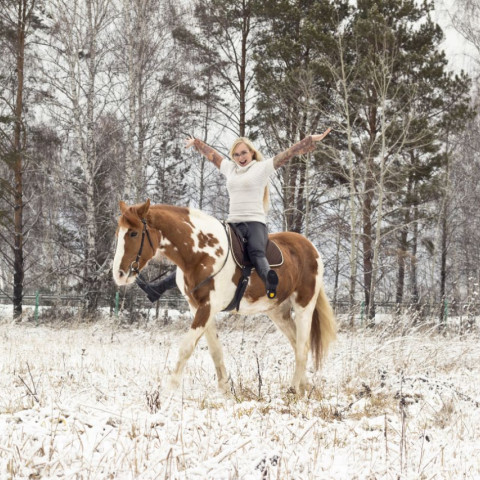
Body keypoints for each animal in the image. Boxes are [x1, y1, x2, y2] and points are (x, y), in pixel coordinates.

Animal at [114, 199, 336, 394]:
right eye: (118, 233)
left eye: (133, 233)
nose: (119, 274)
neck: (202, 253)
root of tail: (312, 249)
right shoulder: (199, 308)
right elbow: (215, 351)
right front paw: (225, 390)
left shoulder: (207, 307)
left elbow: (186, 348)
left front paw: (168, 392)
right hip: (278, 312)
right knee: (296, 343)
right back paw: (304, 387)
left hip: (304, 306)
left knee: (302, 346)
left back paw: (292, 389)